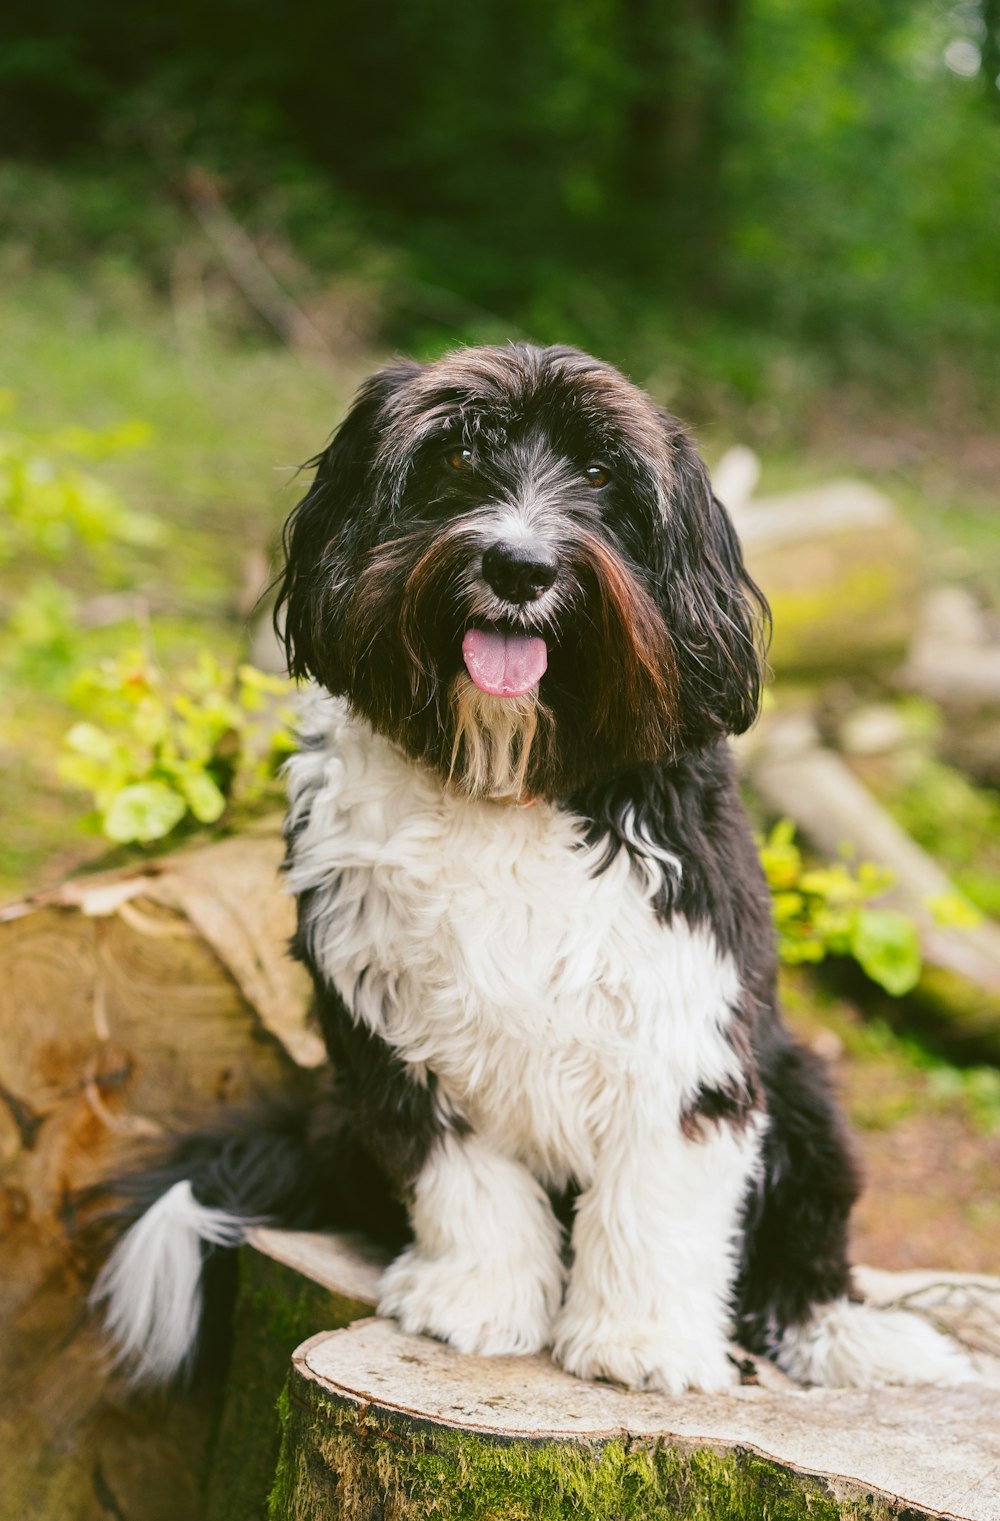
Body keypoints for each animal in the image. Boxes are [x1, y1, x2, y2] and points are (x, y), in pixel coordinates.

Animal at [91, 342, 968, 1393]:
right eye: (459, 456)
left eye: (600, 475)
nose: (519, 564)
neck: (512, 774)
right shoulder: (392, 1031)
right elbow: (464, 1178)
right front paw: (477, 1300)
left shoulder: (687, 1019)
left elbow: (658, 1191)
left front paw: (638, 1338)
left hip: (801, 1085)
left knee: (807, 1245)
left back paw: (853, 1334)